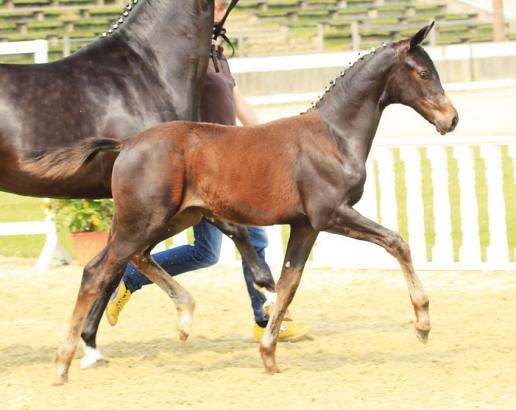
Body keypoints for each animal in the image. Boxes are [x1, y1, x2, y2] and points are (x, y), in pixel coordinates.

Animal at [43, 23, 460, 384]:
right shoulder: (331, 214)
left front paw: (269, 355)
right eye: (424, 73)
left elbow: (289, 283)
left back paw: (183, 319)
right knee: (99, 272)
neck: (333, 136)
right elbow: (396, 242)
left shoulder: (305, 225)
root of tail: (126, 144)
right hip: (144, 220)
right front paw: (423, 323)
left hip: (170, 219)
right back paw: (63, 364)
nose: (452, 119)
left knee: (126, 260)